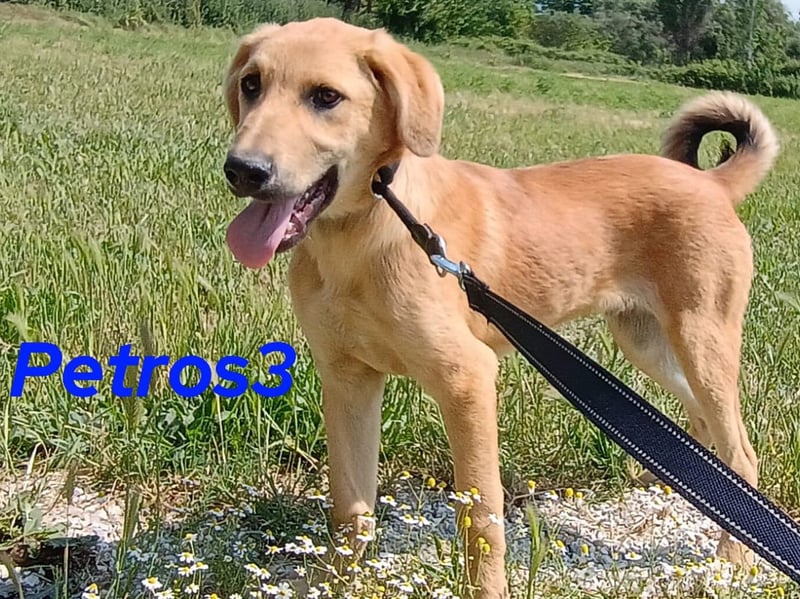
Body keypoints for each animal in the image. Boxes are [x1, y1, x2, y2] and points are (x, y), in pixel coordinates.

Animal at [219, 17, 779, 598]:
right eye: (252, 85)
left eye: (326, 97)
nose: (242, 170)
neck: (364, 235)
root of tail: (711, 181)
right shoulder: (347, 378)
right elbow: (350, 508)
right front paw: (338, 583)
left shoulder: (467, 378)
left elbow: (481, 518)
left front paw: (485, 587)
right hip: (644, 339)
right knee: (703, 421)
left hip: (701, 335)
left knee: (741, 450)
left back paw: (732, 559)